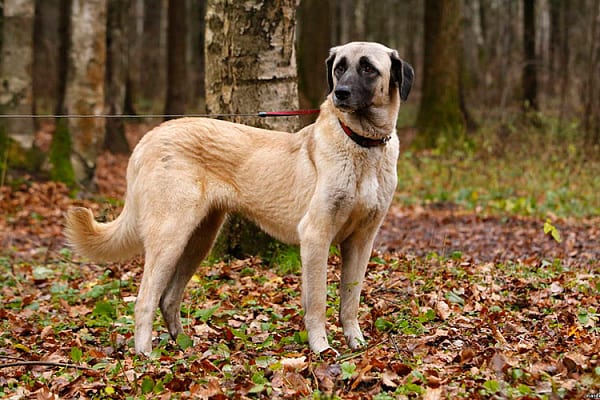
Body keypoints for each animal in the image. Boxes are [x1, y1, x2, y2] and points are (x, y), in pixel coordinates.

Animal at [65, 41, 412, 354]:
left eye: (367, 68)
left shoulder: (361, 240)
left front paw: (356, 342)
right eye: (340, 67)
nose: (340, 93)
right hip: (170, 236)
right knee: (145, 299)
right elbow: (317, 302)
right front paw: (322, 349)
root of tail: (147, 139)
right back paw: (145, 356)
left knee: (168, 298)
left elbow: (350, 301)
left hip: (199, 239)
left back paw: (184, 347)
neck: (361, 145)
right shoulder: (316, 235)